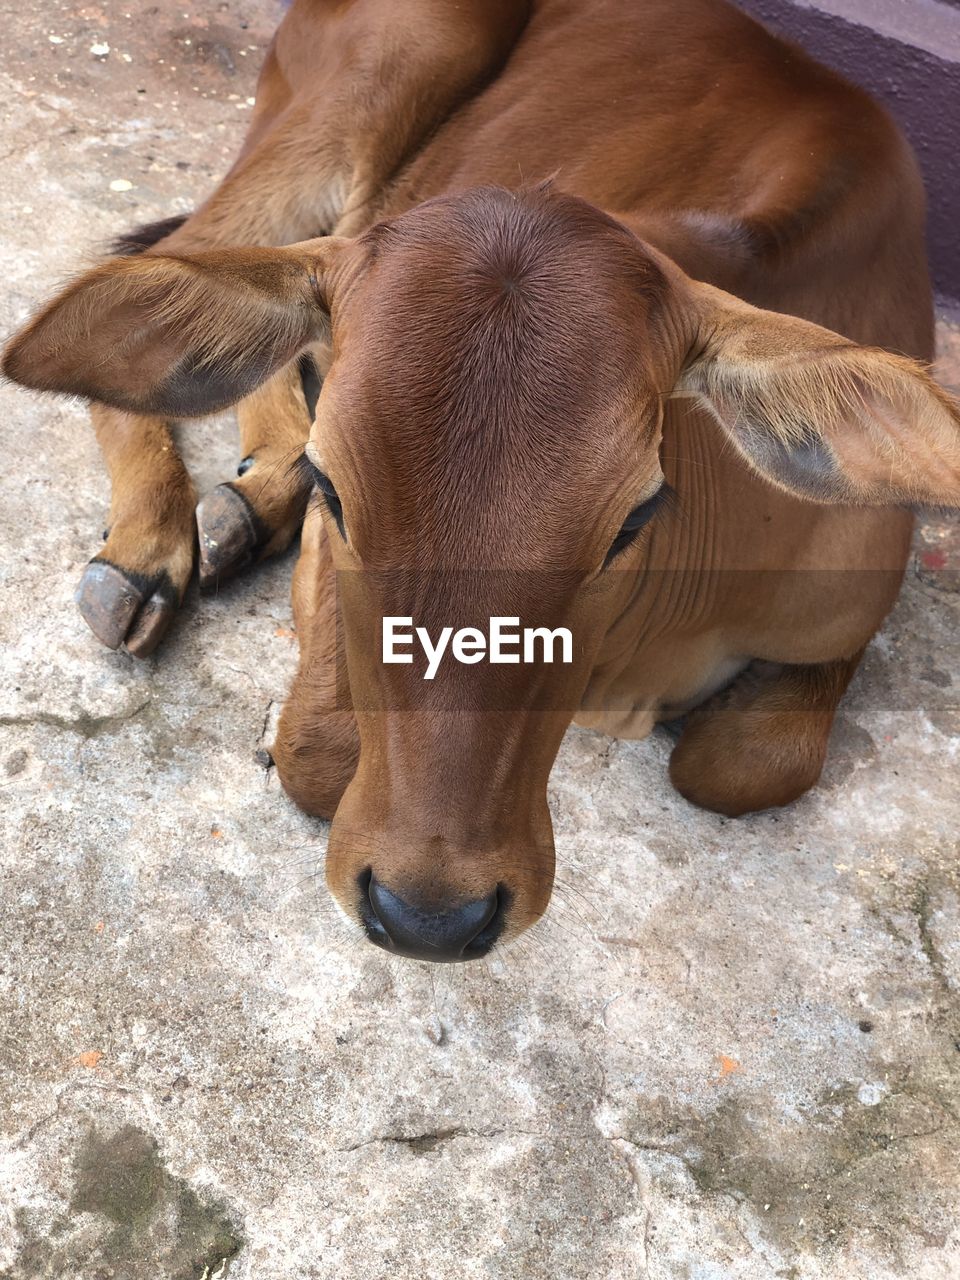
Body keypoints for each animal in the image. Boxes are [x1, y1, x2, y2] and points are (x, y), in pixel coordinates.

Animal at [1, 0, 960, 962]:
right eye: (334, 488)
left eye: (635, 516)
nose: (428, 914)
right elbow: (314, 756)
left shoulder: (851, 610)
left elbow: (739, 765)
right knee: (196, 259)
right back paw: (149, 548)